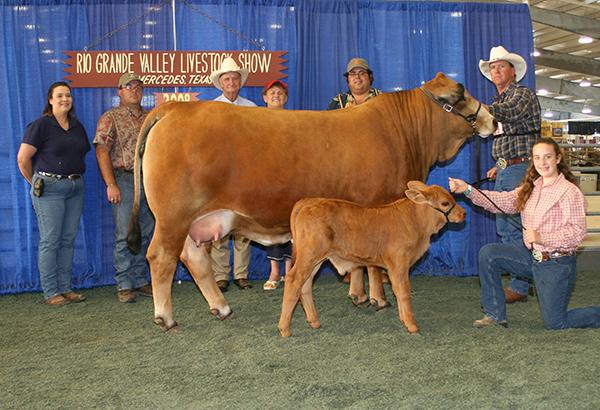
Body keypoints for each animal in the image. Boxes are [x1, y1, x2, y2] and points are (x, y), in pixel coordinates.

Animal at [278, 182, 466, 336]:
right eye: (445, 203)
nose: (463, 213)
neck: (416, 222)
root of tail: (308, 202)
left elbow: (397, 291)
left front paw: (403, 319)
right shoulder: (399, 264)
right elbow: (404, 292)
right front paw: (412, 326)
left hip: (315, 260)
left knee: (305, 284)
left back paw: (314, 322)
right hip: (309, 256)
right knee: (293, 280)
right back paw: (284, 329)